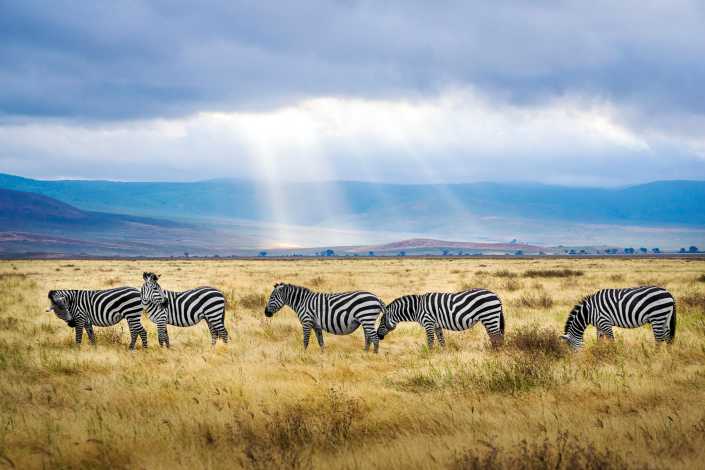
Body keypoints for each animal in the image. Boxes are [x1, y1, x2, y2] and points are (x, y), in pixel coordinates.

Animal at [376, 288, 504, 346]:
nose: (378, 335)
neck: (417, 308)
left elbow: (430, 341)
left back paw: (495, 354)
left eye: (381, 320)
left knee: (497, 337)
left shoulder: (428, 322)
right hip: (490, 318)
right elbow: (442, 340)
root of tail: (496, 295)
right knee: (495, 336)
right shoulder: (437, 325)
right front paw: (443, 355)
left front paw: (429, 356)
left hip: (489, 316)